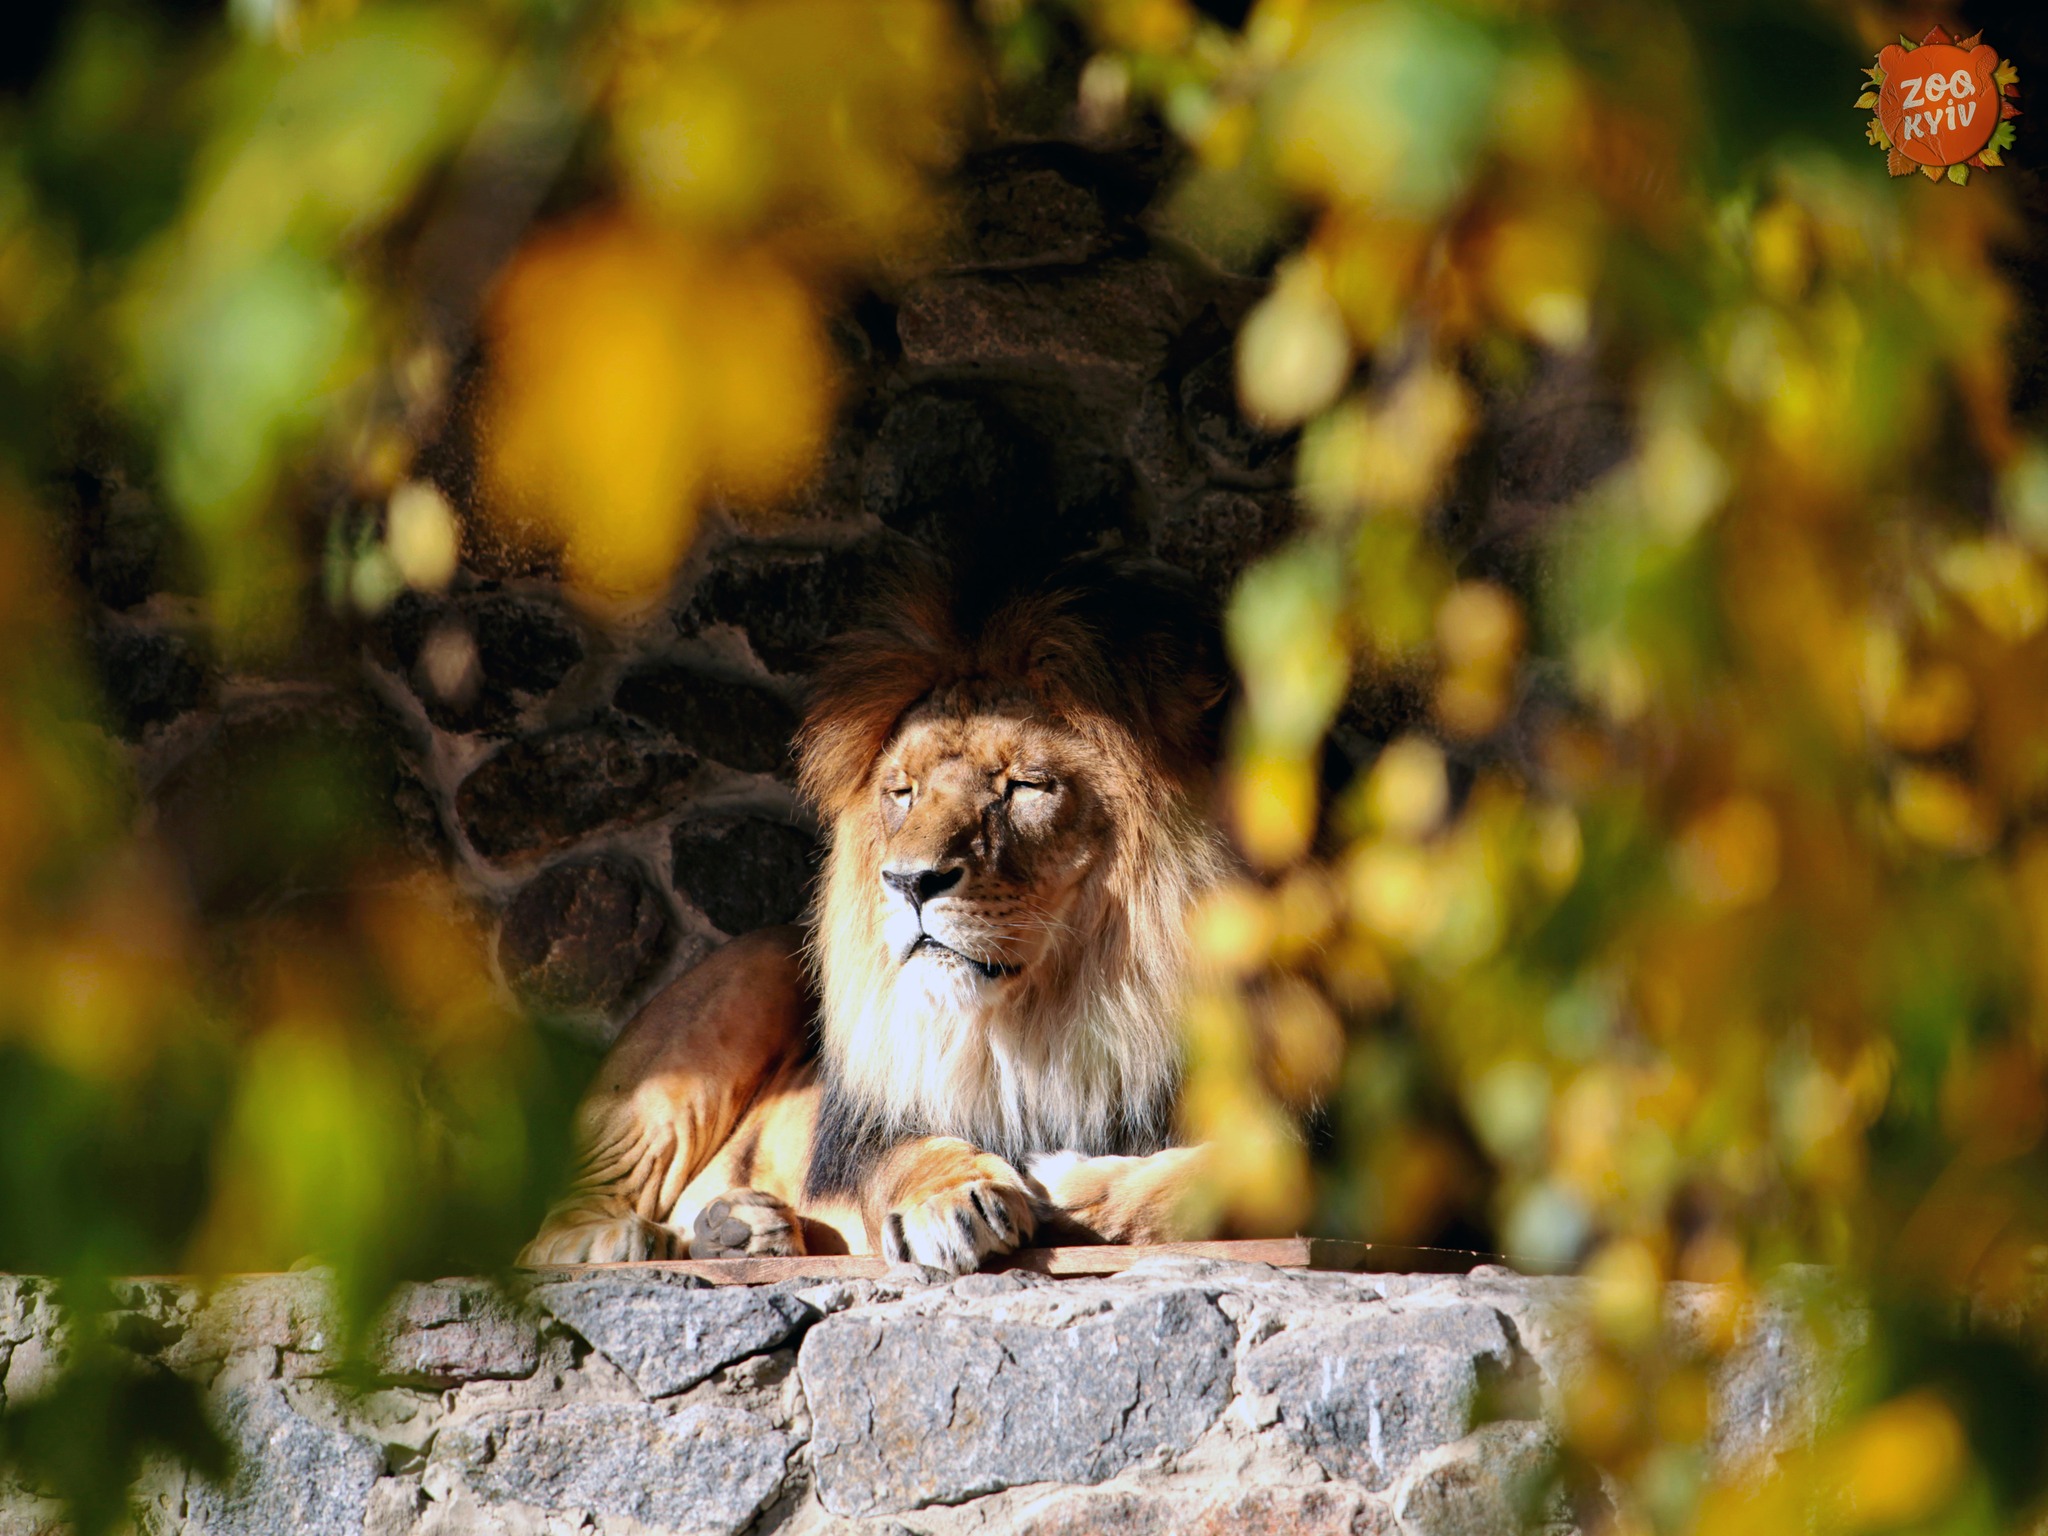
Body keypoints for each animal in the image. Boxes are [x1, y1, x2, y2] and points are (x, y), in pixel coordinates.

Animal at [524, 552, 1228, 1277]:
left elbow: (1213, 1181)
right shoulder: (865, 1133)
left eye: (1025, 785)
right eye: (903, 792)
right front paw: (955, 1199)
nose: (910, 881)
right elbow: (905, 1155)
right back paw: (618, 1239)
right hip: (753, 971)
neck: (1040, 1022)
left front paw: (1068, 1188)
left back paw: (741, 1230)